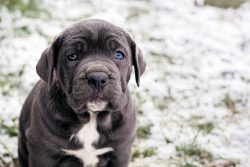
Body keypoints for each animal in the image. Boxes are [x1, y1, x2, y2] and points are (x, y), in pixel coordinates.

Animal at [18, 19, 146, 167]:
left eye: (119, 55)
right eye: (72, 56)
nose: (98, 78)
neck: (91, 117)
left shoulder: (120, 152)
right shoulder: (43, 153)